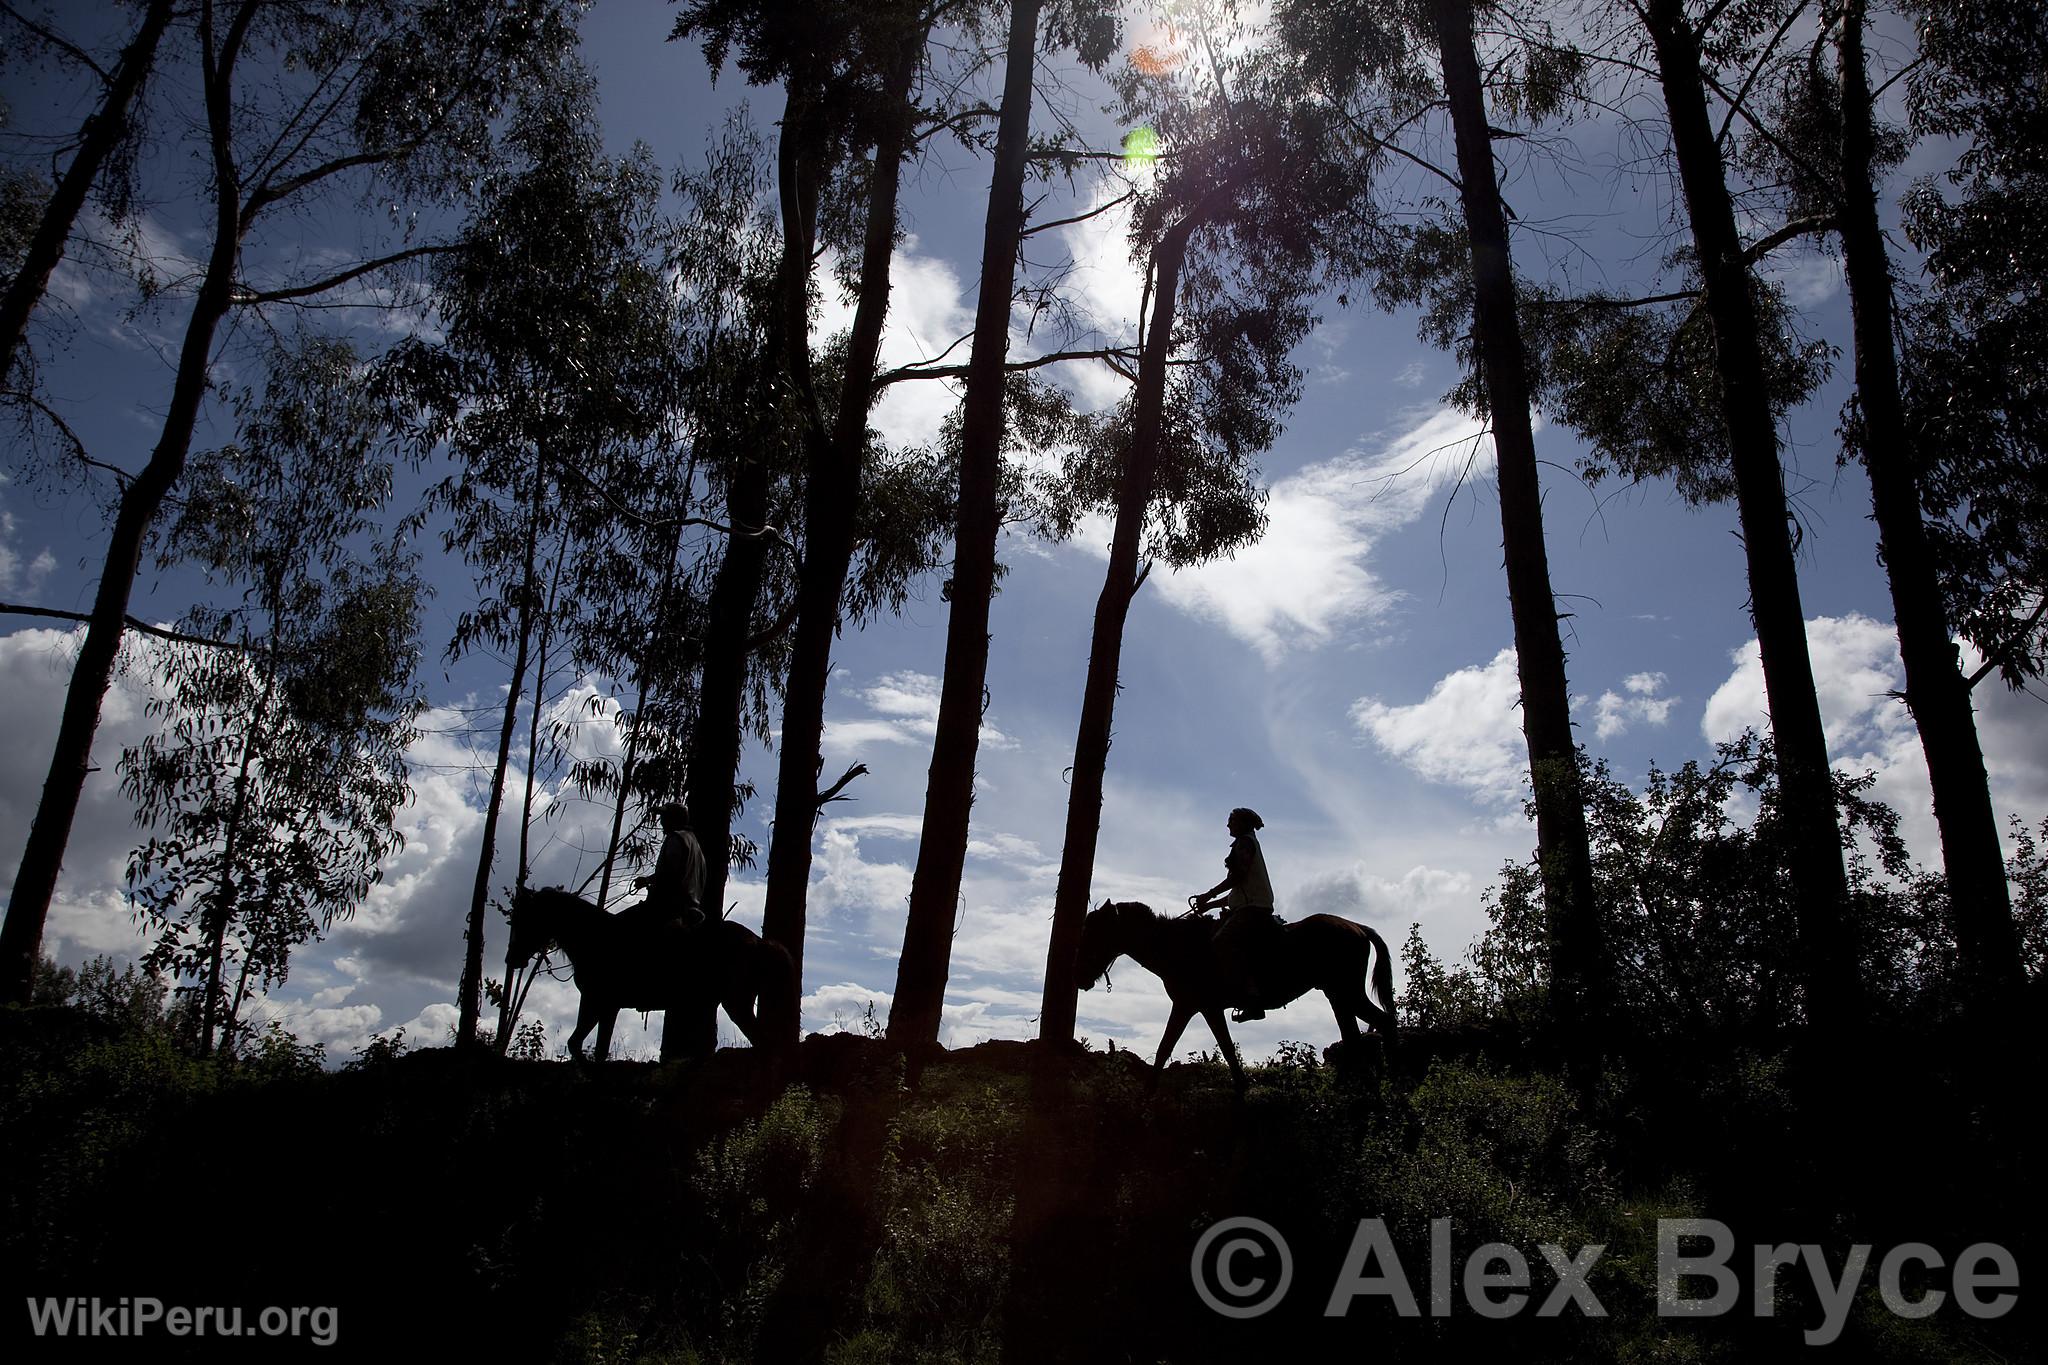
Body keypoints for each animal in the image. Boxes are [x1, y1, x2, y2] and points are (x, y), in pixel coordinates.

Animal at [507, 888, 794, 1064]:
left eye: (526, 918)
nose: (512, 959)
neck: (595, 938)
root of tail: (759, 942)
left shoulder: (597, 1000)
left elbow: (579, 1044)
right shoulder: (606, 1005)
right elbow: (595, 1047)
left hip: (737, 1003)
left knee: (765, 1045)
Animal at [1073, 900, 1392, 1096]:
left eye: (1094, 934)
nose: (1079, 977)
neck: (1179, 947)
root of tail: (1359, 928)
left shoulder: (1190, 1006)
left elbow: (1168, 1047)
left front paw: (1147, 1092)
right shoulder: (1203, 1008)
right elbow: (1220, 1047)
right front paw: (1241, 1086)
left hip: (1346, 992)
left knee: (1381, 1022)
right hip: (1337, 995)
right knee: (1354, 1036)